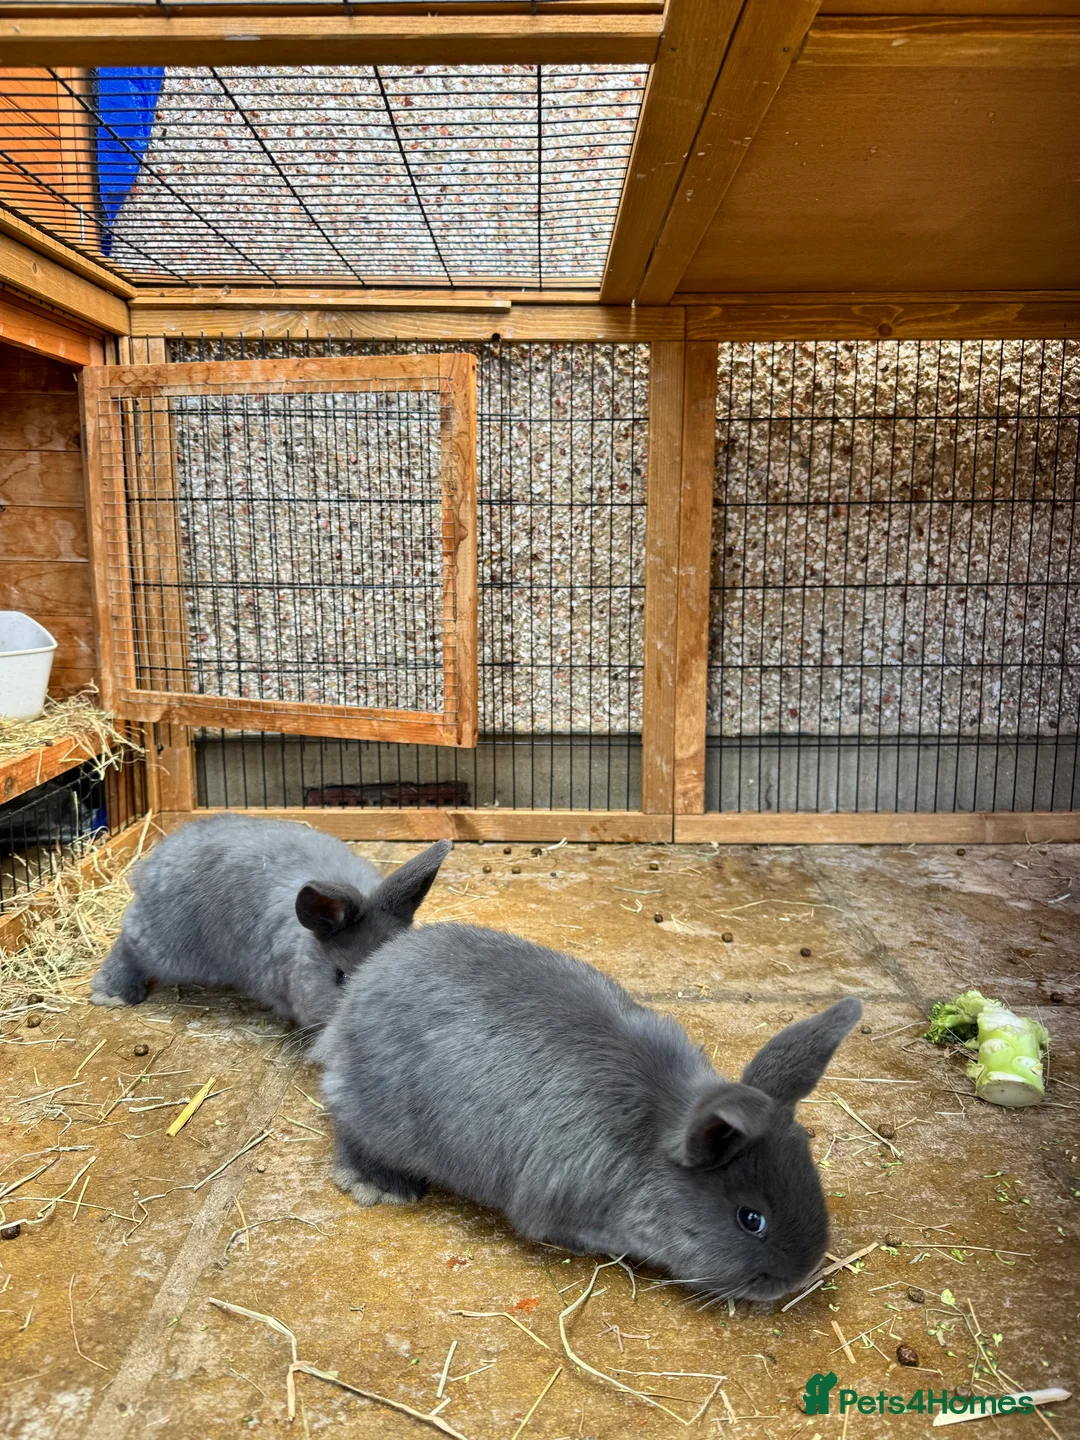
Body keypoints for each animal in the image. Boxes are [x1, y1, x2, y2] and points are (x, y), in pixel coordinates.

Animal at [314, 922, 862, 1302]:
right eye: (751, 1220)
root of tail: (358, 991)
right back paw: (378, 1185)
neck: (652, 1136)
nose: (800, 1275)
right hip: (377, 1112)